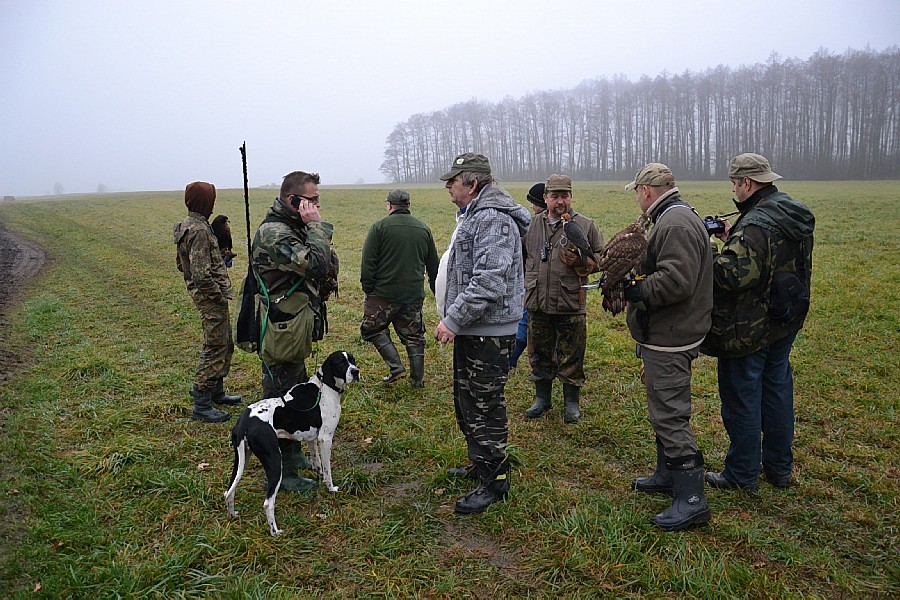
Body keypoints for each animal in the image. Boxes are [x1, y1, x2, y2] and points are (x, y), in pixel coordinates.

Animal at [224, 350, 359, 536]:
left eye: (352, 360)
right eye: (340, 362)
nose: (356, 371)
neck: (325, 386)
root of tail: (246, 419)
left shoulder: (312, 439)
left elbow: (317, 464)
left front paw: (318, 478)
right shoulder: (325, 439)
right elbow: (328, 470)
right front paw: (331, 488)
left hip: (241, 460)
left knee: (229, 492)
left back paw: (232, 516)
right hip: (274, 460)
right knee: (268, 503)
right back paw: (275, 532)